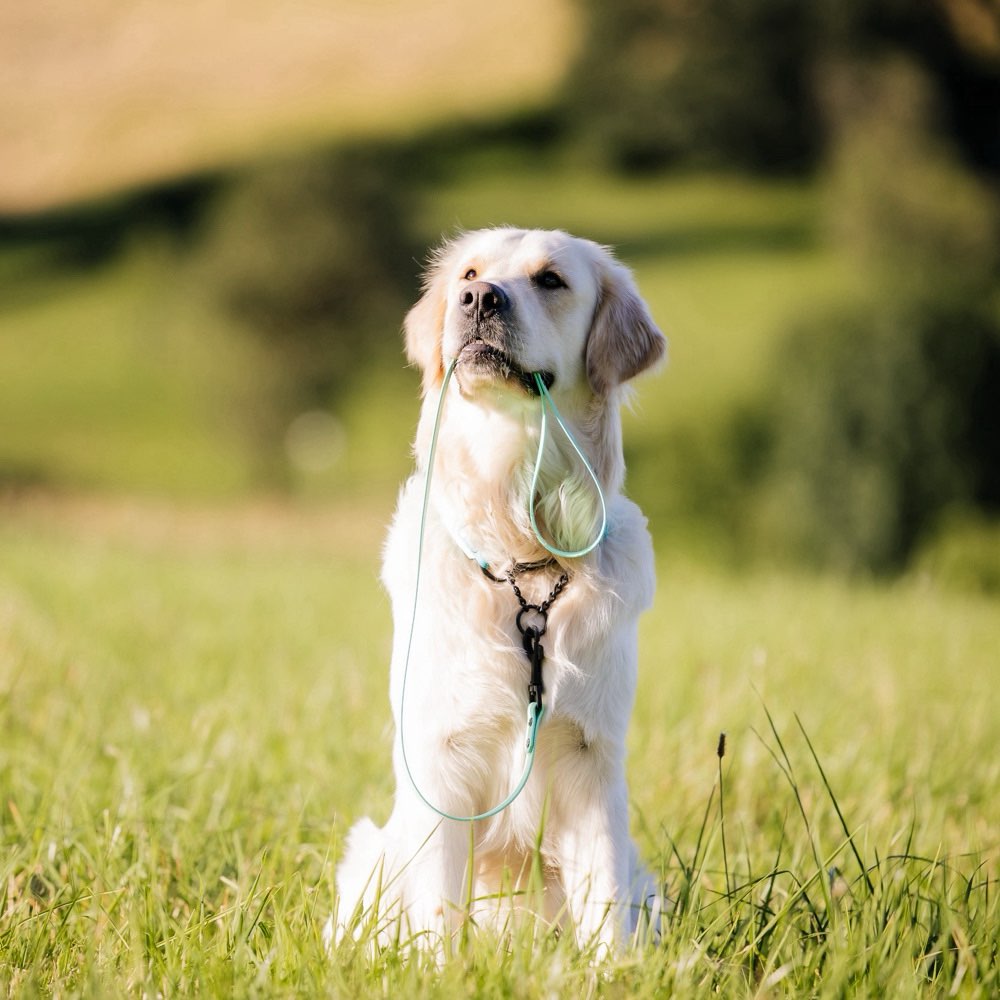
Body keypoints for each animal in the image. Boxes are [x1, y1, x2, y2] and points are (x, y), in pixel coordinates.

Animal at [332, 229, 668, 952]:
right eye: (469, 273)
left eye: (550, 280)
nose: (479, 300)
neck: (522, 552)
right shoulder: (442, 757)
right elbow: (438, 912)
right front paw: (438, 968)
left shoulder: (591, 758)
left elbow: (605, 905)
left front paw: (611, 971)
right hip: (375, 853)